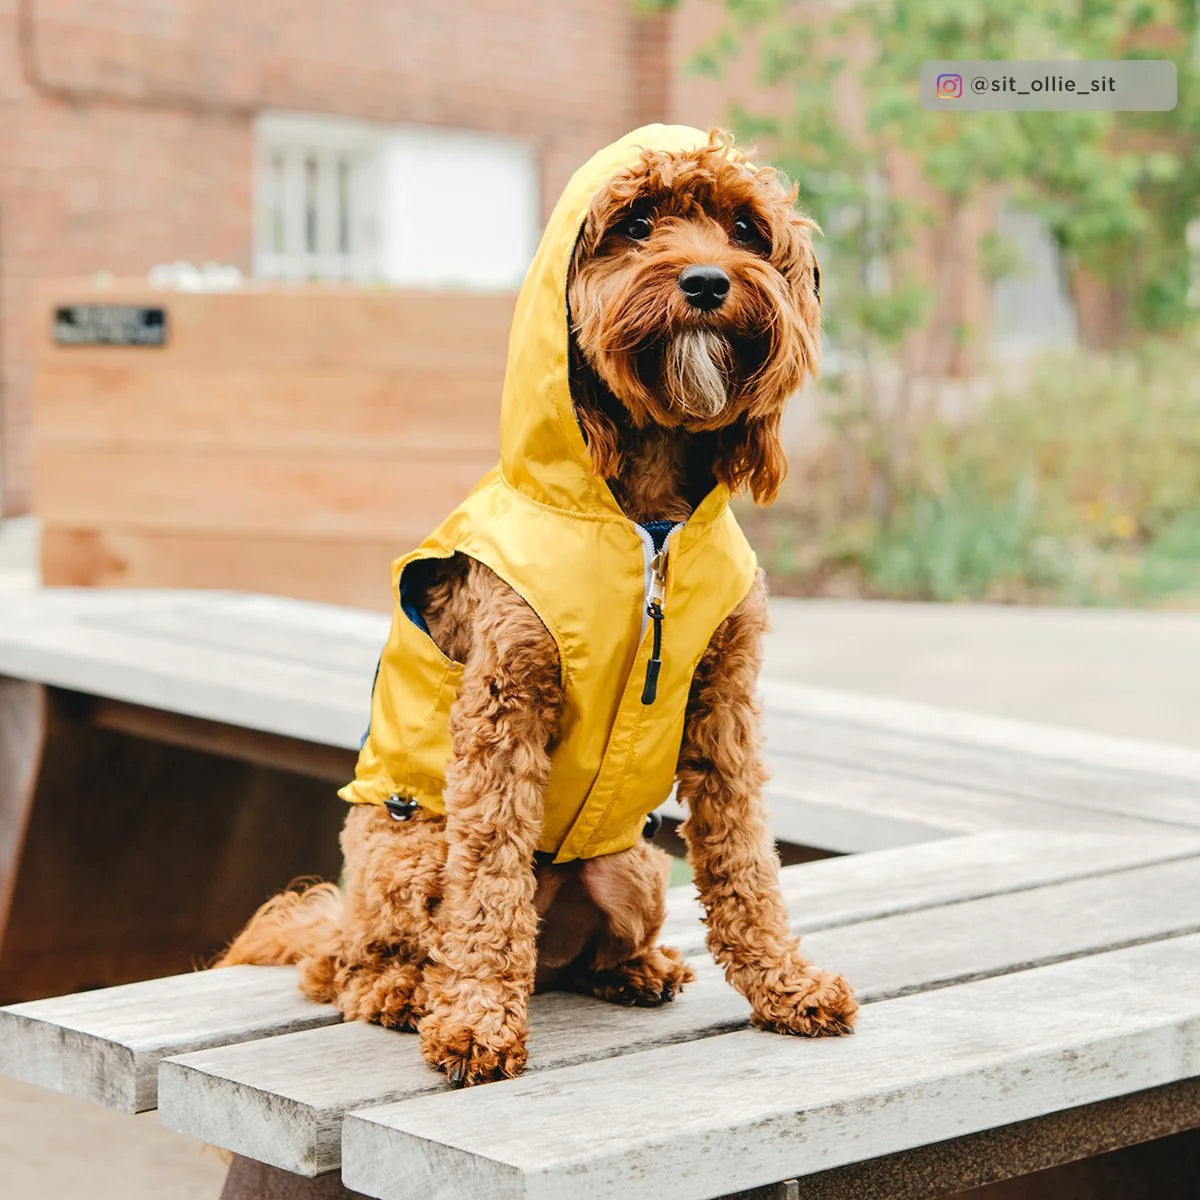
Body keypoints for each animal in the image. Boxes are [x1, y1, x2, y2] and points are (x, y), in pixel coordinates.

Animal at [223, 133, 854, 1089]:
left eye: (746, 229)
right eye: (636, 223)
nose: (708, 281)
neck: (645, 517)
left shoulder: (725, 706)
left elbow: (746, 857)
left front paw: (786, 984)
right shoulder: (504, 705)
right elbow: (488, 885)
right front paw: (475, 1023)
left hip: (632, 868)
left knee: (574, 958)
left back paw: (638, 970)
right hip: (406, 852)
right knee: (354, 962)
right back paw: (405, 993)